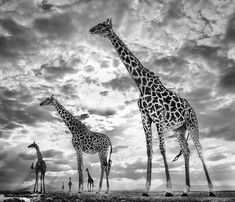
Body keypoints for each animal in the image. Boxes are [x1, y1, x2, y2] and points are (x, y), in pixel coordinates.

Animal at [89, 19, 215, 197]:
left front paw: (168, 189)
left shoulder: (159, 117)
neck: (141, 85)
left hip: (192, 124)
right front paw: (146, 189)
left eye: (103, 26)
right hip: (179, 129)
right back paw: (185, 190)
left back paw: (211, 189)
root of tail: (193, 109)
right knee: (187, 152)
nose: (91, 29)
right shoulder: (145, 118)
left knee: (200, 151)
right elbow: (149, 150)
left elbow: (162, 149)